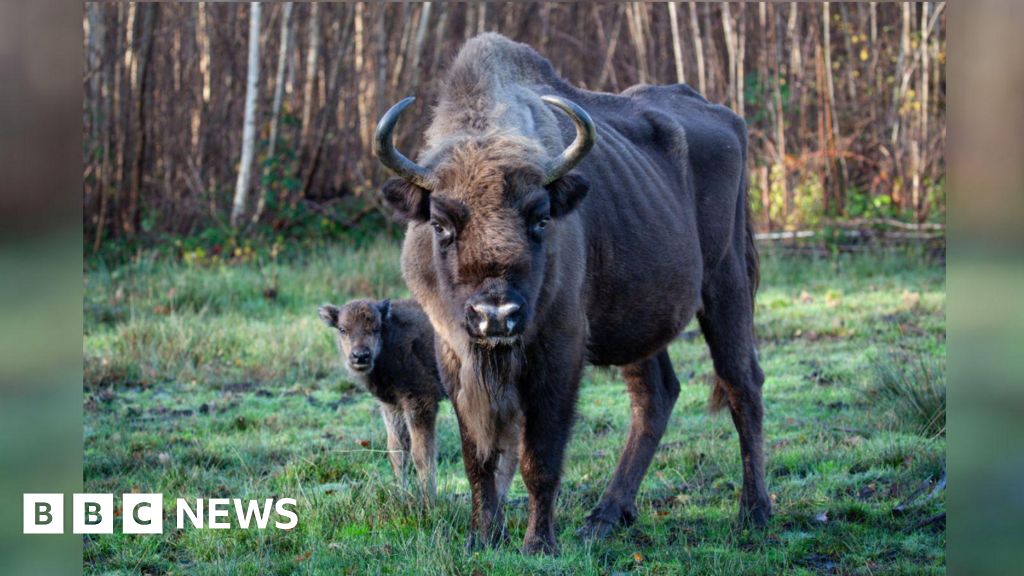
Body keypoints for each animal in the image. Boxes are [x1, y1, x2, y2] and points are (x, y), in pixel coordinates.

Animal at [374, 33, 769, 554]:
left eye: (541, 218)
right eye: (440, 225)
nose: (496, 315)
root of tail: (728, 119)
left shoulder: (559, 350)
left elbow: (539, 458)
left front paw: (538, 543)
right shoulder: (454, 353)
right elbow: (478, 456)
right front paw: (482, 537)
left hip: (726, 284)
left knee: (742, 384)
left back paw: (754, 512)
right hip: (639, 323)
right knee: (656, 395)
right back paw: (605, 516)